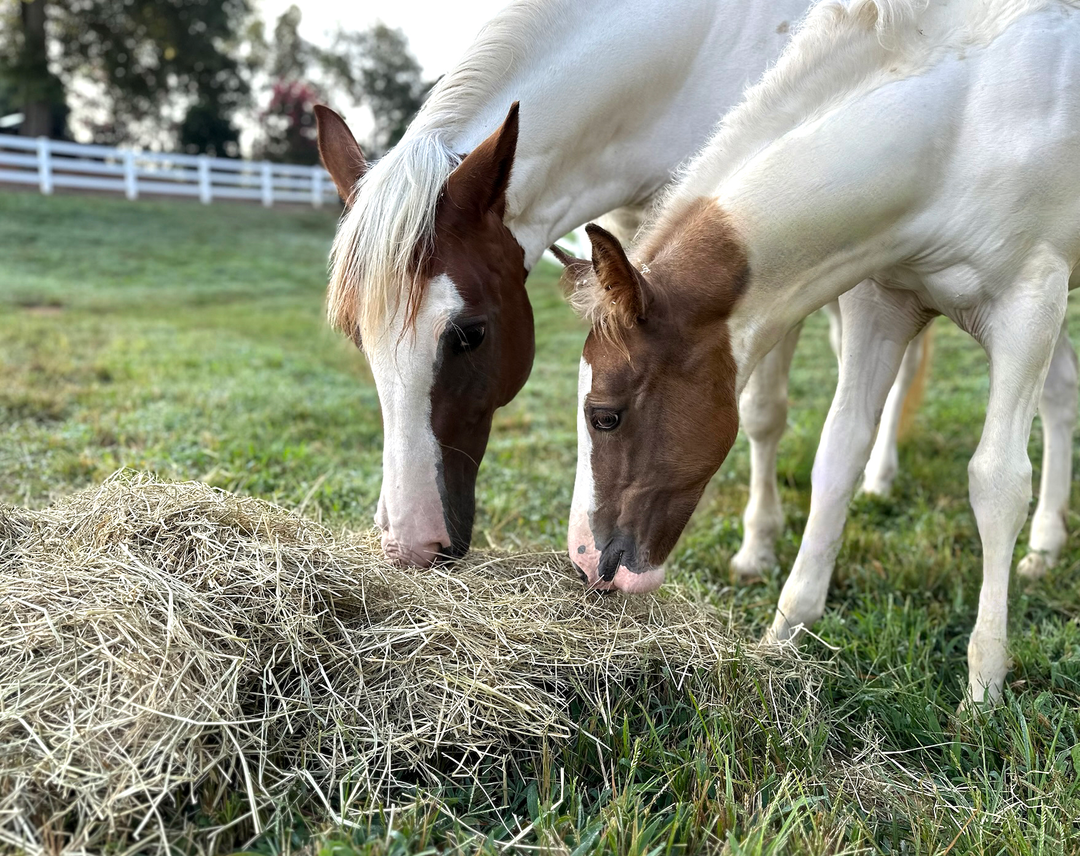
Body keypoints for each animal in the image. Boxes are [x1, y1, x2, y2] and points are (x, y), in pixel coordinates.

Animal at [562, 0, 1080, 703]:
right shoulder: (882, 305)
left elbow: (997, 482)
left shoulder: (1030, 300)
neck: (960, 121)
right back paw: (1047, 547)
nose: (587, 563)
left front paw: (985, 685)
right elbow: (838, 456)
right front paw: (781, 637)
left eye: (605, 416)